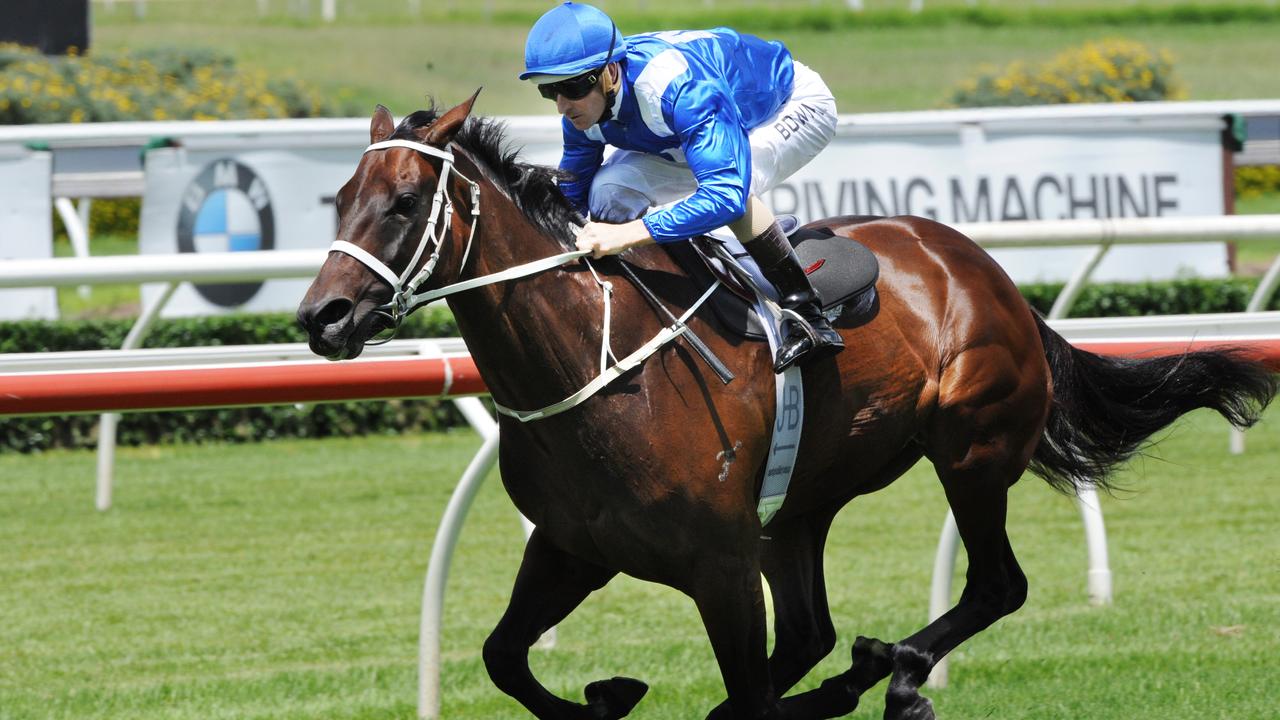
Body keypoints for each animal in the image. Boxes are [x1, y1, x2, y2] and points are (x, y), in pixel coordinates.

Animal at [296, 92, 1269, 712]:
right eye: (340, 198)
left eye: (405, 201)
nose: (321, 316)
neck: (593, 365)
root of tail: (986, 270)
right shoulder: (573, 548)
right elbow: (505, 659)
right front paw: (611, 695)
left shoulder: (719, 565)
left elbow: (748, 692)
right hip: (798, 509)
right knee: (811, 635)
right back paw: (860, 675)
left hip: (971, 449)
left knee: (996, 585)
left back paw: (894, 676)